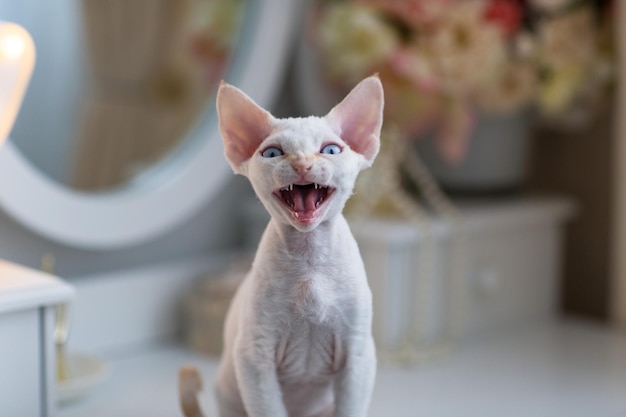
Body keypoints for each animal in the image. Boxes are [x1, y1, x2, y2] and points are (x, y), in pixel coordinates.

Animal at [178, 75, 382, 416]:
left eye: (330, 150)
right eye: (272, 154)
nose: (302, 164)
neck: (309, 258)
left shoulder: (358, 354)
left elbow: (350, 407)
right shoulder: (255, 356)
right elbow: (269, 408)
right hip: (229, 391)